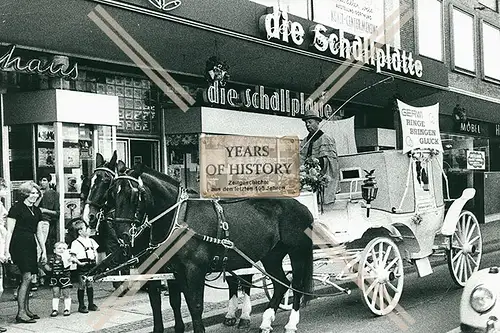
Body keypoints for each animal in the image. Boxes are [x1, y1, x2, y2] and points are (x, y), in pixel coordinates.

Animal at [81, 152, 254, 330]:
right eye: (89, 181)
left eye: (106, 182)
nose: (88, 216)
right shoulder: (160, 268)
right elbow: (163, 301)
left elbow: (173, 299)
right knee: (234, 280)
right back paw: (231, 314)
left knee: (247, 280)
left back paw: (244, 316)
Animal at [107, 162, 314, 330]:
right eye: (113, 193)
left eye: (135, 194)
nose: (121, 233)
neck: (180, 217)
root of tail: (302, 207)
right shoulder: (178, 271)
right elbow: (184, 303)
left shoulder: (195, 270)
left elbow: (196, 306)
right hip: (272, 255)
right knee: (281, 283)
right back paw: (266, 321)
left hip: (297, 252)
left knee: (295, 284)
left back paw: (291, 323)